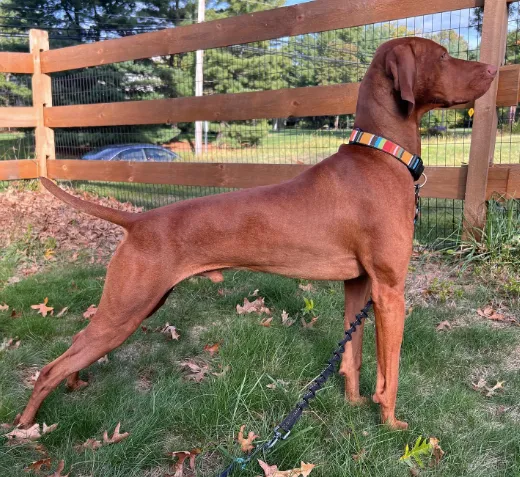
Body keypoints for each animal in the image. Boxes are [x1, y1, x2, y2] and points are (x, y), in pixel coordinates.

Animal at [16, 37, 496, 428]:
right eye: (443, 55)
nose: (494, 69)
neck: (382, 154)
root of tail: (138, 220)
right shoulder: (391, 290)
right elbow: (389, 373)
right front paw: (391, 425)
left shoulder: (360, 285)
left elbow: (352, 356)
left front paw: (354, 405)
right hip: (126, 309)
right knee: (50, 367)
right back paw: (26, 427)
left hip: (136, 305)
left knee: (76, 345)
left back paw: (75, 385)